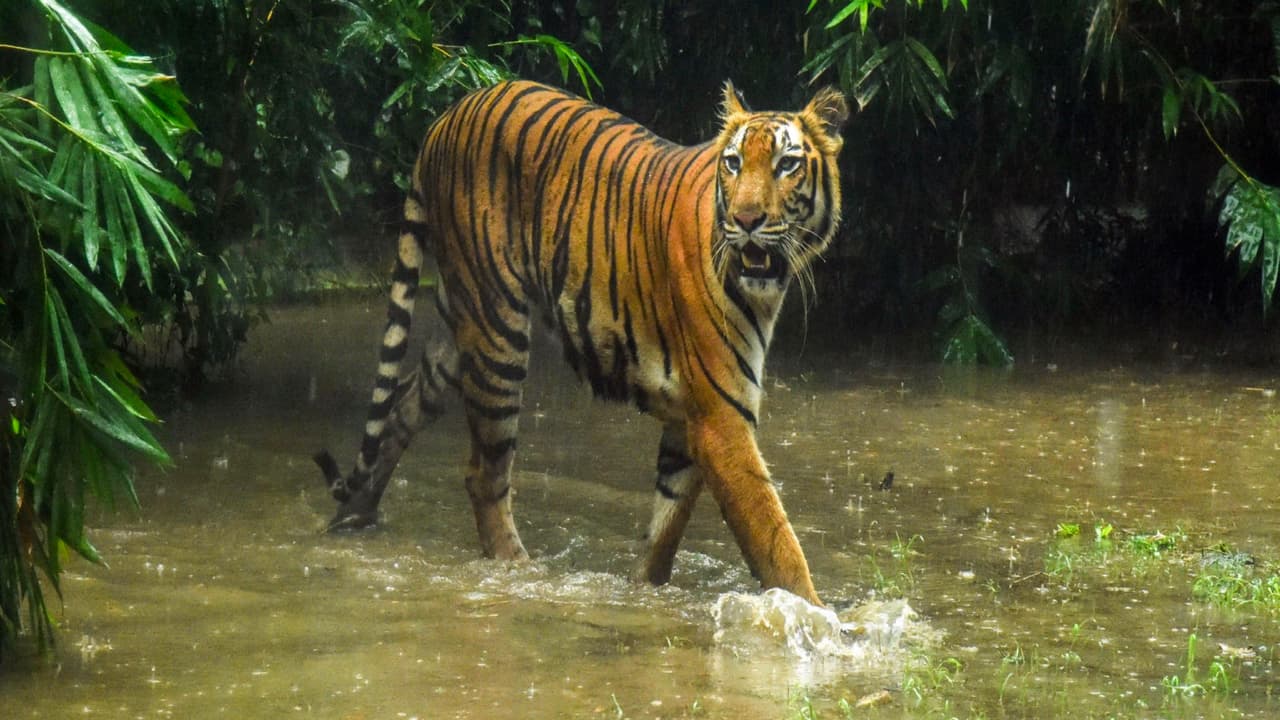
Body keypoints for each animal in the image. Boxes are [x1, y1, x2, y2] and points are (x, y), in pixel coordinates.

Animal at [314, 79, 848, 606]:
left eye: (786, 165)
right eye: (734, 163)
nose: (746, 219)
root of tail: (445, 117)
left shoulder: (689, 419)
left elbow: (664, 529)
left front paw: (642, 592)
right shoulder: (721, 418)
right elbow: (775, 542)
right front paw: (821, 618)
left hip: (456, 321)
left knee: (401, 407)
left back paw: (354, 520)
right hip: (498, 329)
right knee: (484, 475)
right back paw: (520, 571)